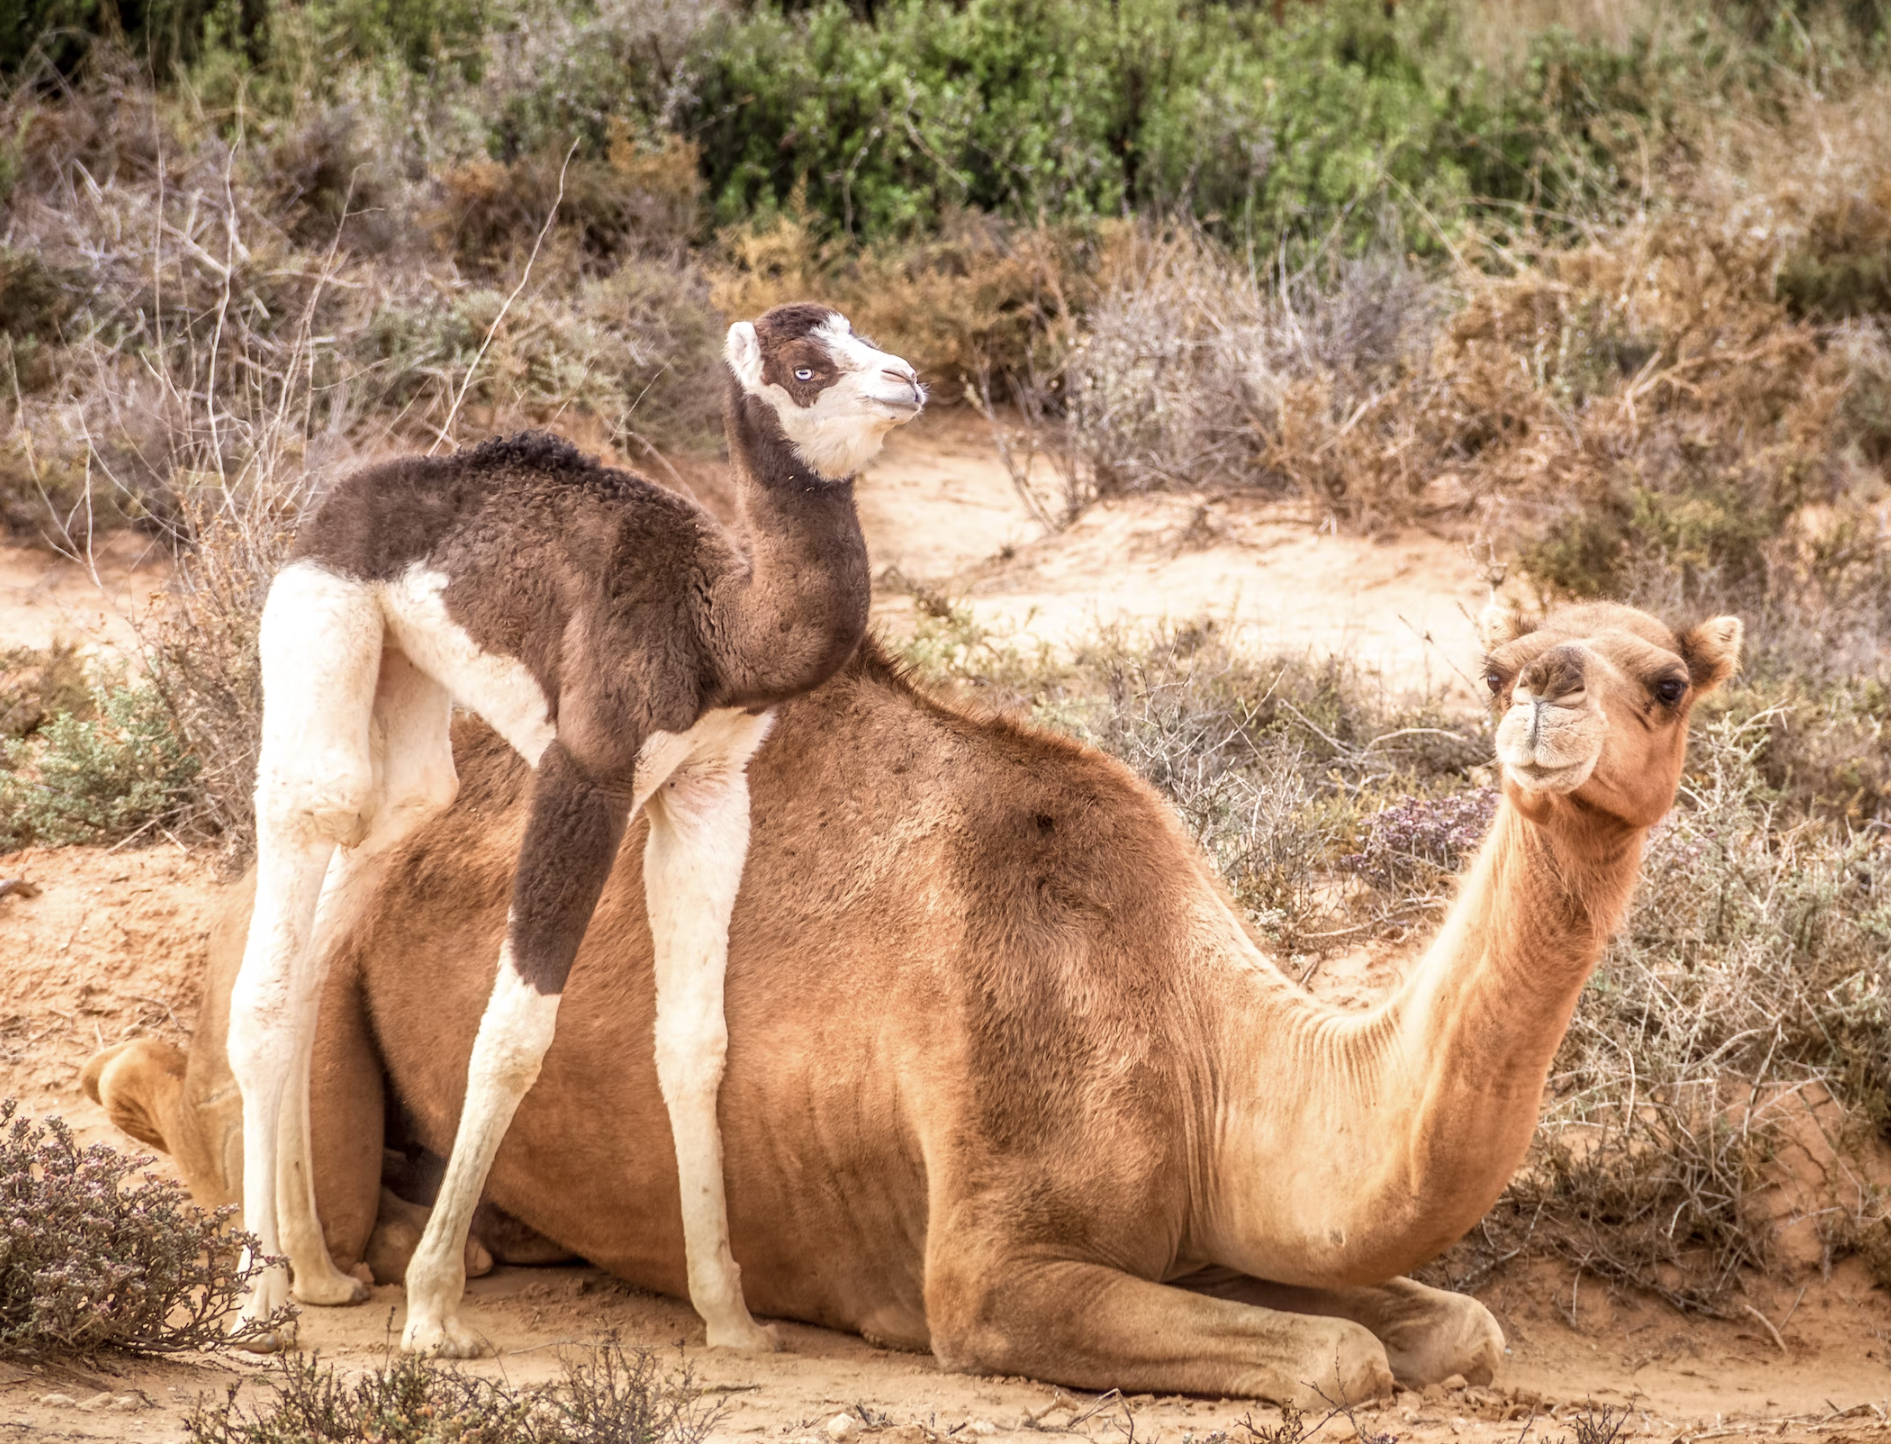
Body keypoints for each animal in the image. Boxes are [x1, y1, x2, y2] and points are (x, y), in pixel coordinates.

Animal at [87, 598, 1741, 1404]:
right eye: (1495, 667)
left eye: (1665, 680)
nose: (1547, 703)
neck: (1201, 1035)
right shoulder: (988, 1271)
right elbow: (1338, 1362)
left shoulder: (1202, 1229)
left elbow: (1451, 1327)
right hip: (311, 960)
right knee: (238, 1121)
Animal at [225, 303, 924, 1356]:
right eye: (806, 366)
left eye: (859, 331)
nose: (906, 381)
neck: (718, 631)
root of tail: (336, 501)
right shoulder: (586, 775)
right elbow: (513, 1035)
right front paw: (435, 1312)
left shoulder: (709, 791)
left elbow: (694, 1046)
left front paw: (731, 1317)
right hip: (319, 637)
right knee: (293, 883)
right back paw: (255, 1300)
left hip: (409, 716)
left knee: (354, 891)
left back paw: (317, 1272)